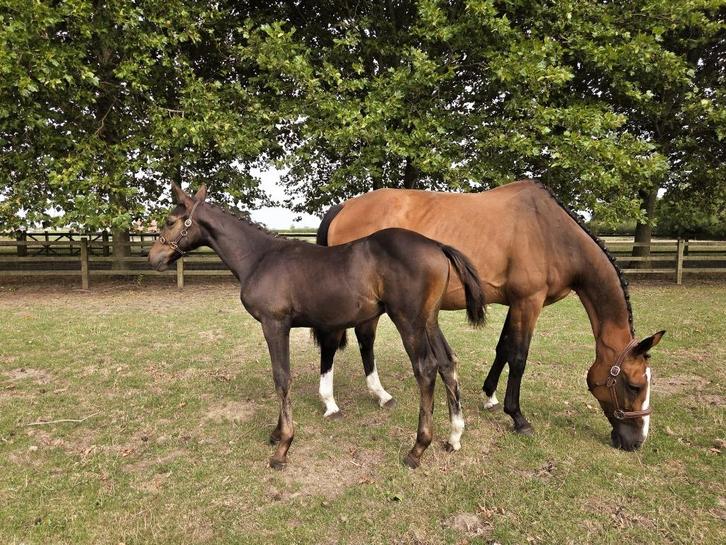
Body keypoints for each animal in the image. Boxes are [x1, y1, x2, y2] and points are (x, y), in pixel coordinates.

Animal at [148, 183, 486, 469]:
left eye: (169, 221)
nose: (152, 257)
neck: (259, 258)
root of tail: (436, 245)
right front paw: (277, 433)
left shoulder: (274, 324)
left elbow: (281, 378)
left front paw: (282, 446)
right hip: (429, 320)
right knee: (446, 363)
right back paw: (454, 436)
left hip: (409, 320)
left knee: (425, 369)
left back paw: (417, 449)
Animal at [316, 179, 665, 451]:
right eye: (635, 385)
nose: (637, 442)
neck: (550, 232)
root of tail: (345, 207)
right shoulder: (529, 301)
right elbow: (519, 357)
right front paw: (518, 417)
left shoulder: (516, 303)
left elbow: (504, 349)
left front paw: (490, 397)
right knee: (346, 340)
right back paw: (342, 401)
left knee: (363, 339)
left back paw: (379, 395)